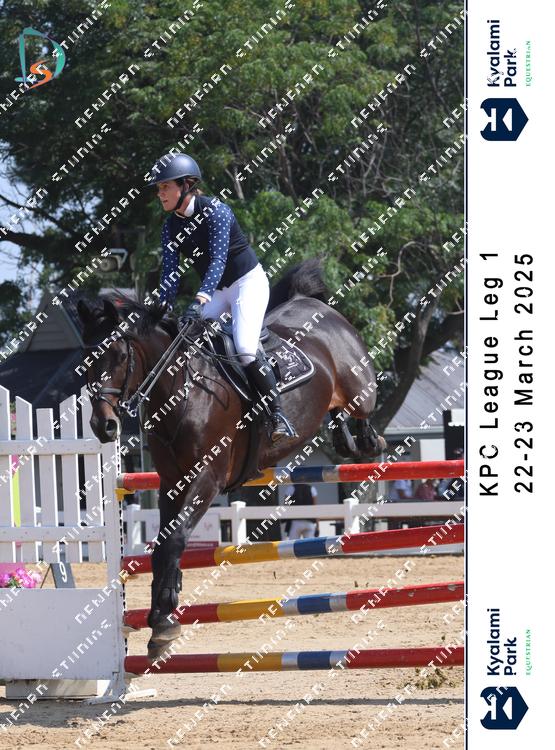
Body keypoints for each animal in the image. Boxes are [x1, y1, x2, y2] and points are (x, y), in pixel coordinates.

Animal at [77, 259, 385, 658]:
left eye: (118, 355)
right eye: (85, 358)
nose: (104, 426)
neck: (182, 390)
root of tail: (314, 304)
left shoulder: (207, 478)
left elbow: (175, 541)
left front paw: (164, 624)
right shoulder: (172, 483)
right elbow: (163, 546)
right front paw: (162, 617)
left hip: (359, 388)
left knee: (363, 411)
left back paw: (367, 439)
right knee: (339, 420)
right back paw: (344, 438)